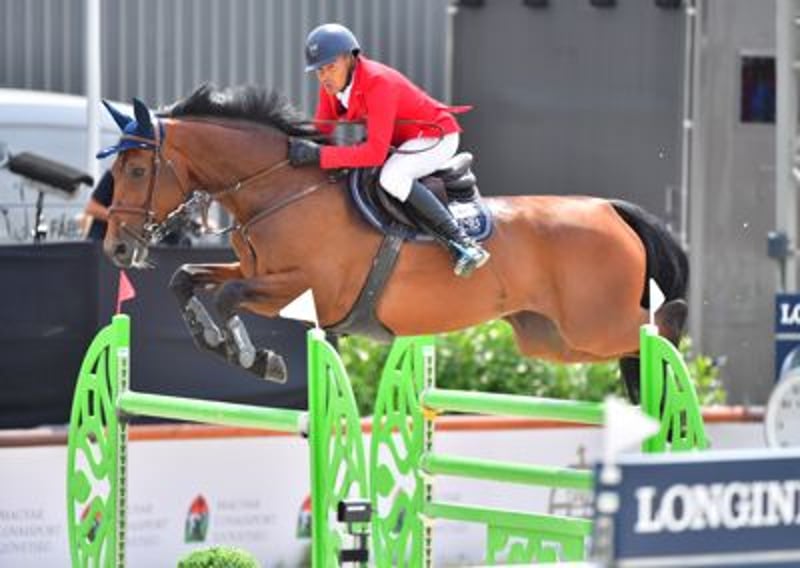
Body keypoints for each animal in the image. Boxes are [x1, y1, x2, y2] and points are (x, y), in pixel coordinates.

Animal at [99, 84, 688, 400]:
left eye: (135, 169)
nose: (117, 251)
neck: (280, 187)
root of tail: (611, 209)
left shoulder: (302, 288)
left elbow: (225, 298)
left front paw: (251, 355)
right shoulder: (256, 272)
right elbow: (186, 280)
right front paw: (221, 341)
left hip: (593, 322)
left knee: (660, 327)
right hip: (550, 338)